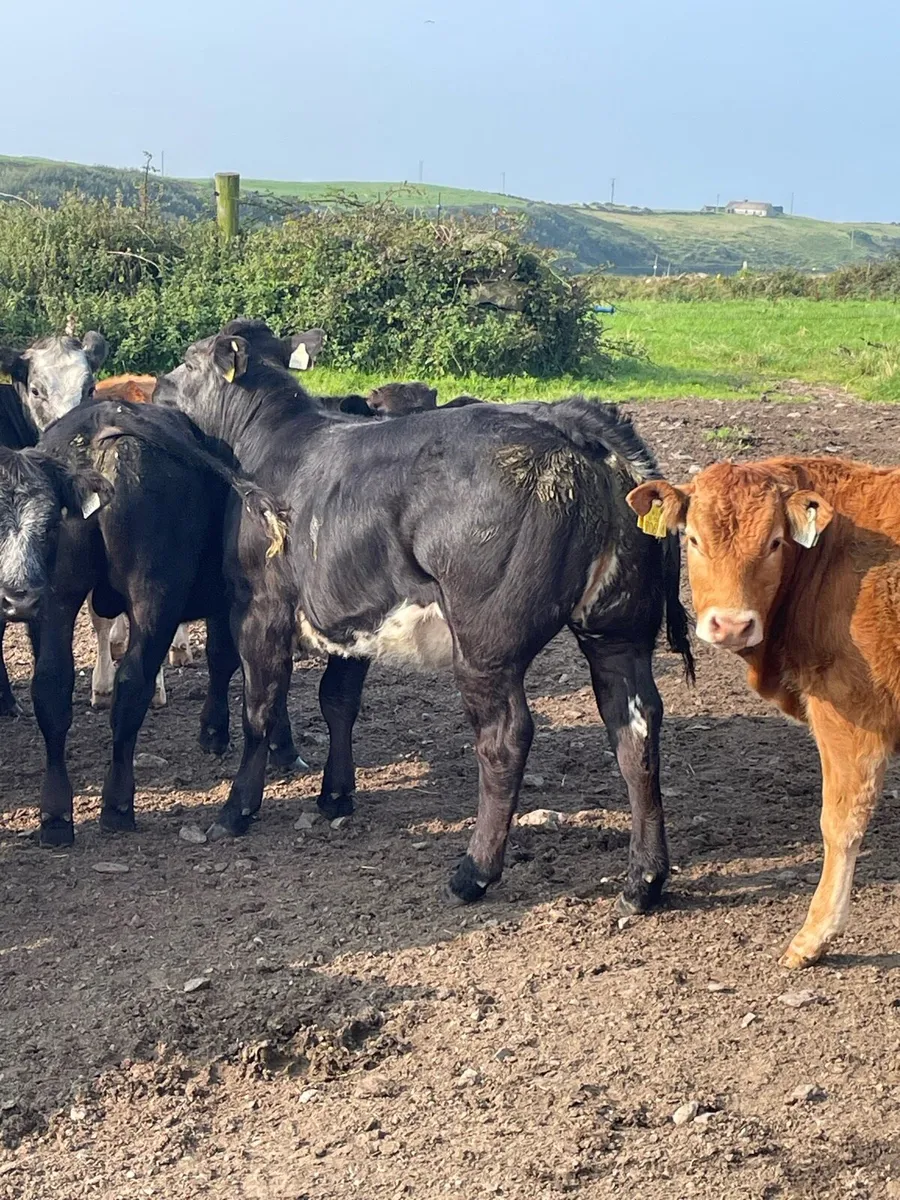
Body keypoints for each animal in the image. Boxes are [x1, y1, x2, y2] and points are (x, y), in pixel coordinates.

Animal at [155, 318, 694, 914]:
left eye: (188, 359)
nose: (155, 386)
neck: (273, 445)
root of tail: (572, 425)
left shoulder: (259, 609)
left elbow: (260, 710)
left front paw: (236, 809)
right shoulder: (354, 615)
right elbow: (337, 702)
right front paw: (335, 795)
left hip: (486, 641)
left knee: (506, 738)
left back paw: (474, 871)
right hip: (620, 630)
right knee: (636, 726)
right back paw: (644, 880)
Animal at [628, 455, 900, 967]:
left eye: (774, 542)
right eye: (693, 539)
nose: (732, 625)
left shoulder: (850, 711)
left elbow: (841, 821)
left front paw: (814, 936)